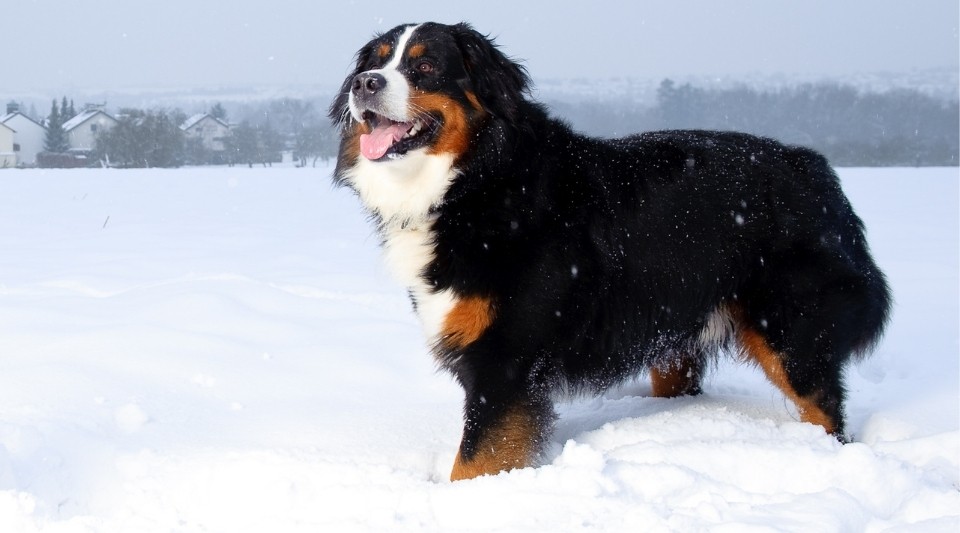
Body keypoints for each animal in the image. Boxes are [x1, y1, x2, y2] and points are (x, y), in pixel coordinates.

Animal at [330, 20, 892, 480]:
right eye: (376, 61)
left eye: (425, 66)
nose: (365, 84)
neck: (476, 183)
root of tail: (815, 169)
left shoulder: (505, 359)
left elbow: (474, 460)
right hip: (676, 338)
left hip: (792, 330)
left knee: (824, 409)